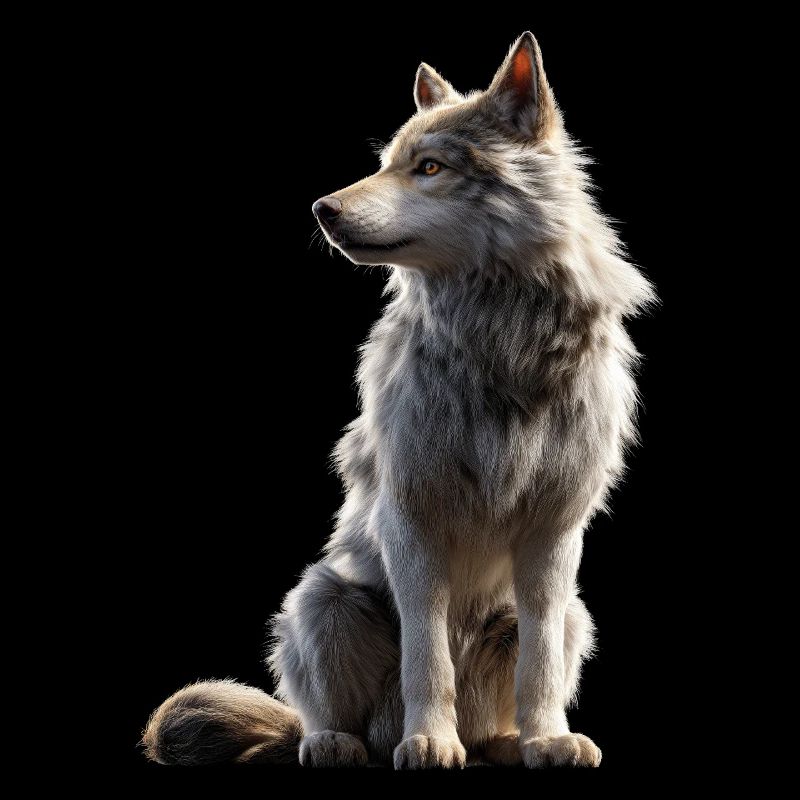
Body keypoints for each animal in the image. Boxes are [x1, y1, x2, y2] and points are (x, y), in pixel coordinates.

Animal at [143, 32, 654, 769]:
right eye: (385, 165)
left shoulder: (555, 535)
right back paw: (341, 742)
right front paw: (430, 741)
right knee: (324, 714)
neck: (499, 340)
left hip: (575, 615)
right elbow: (427, 655)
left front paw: (548, 739)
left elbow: (539, 667)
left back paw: (504, 742)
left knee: (521, 681)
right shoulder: (411, 522)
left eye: (430, 167)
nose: (321, 210)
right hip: (322, 600)